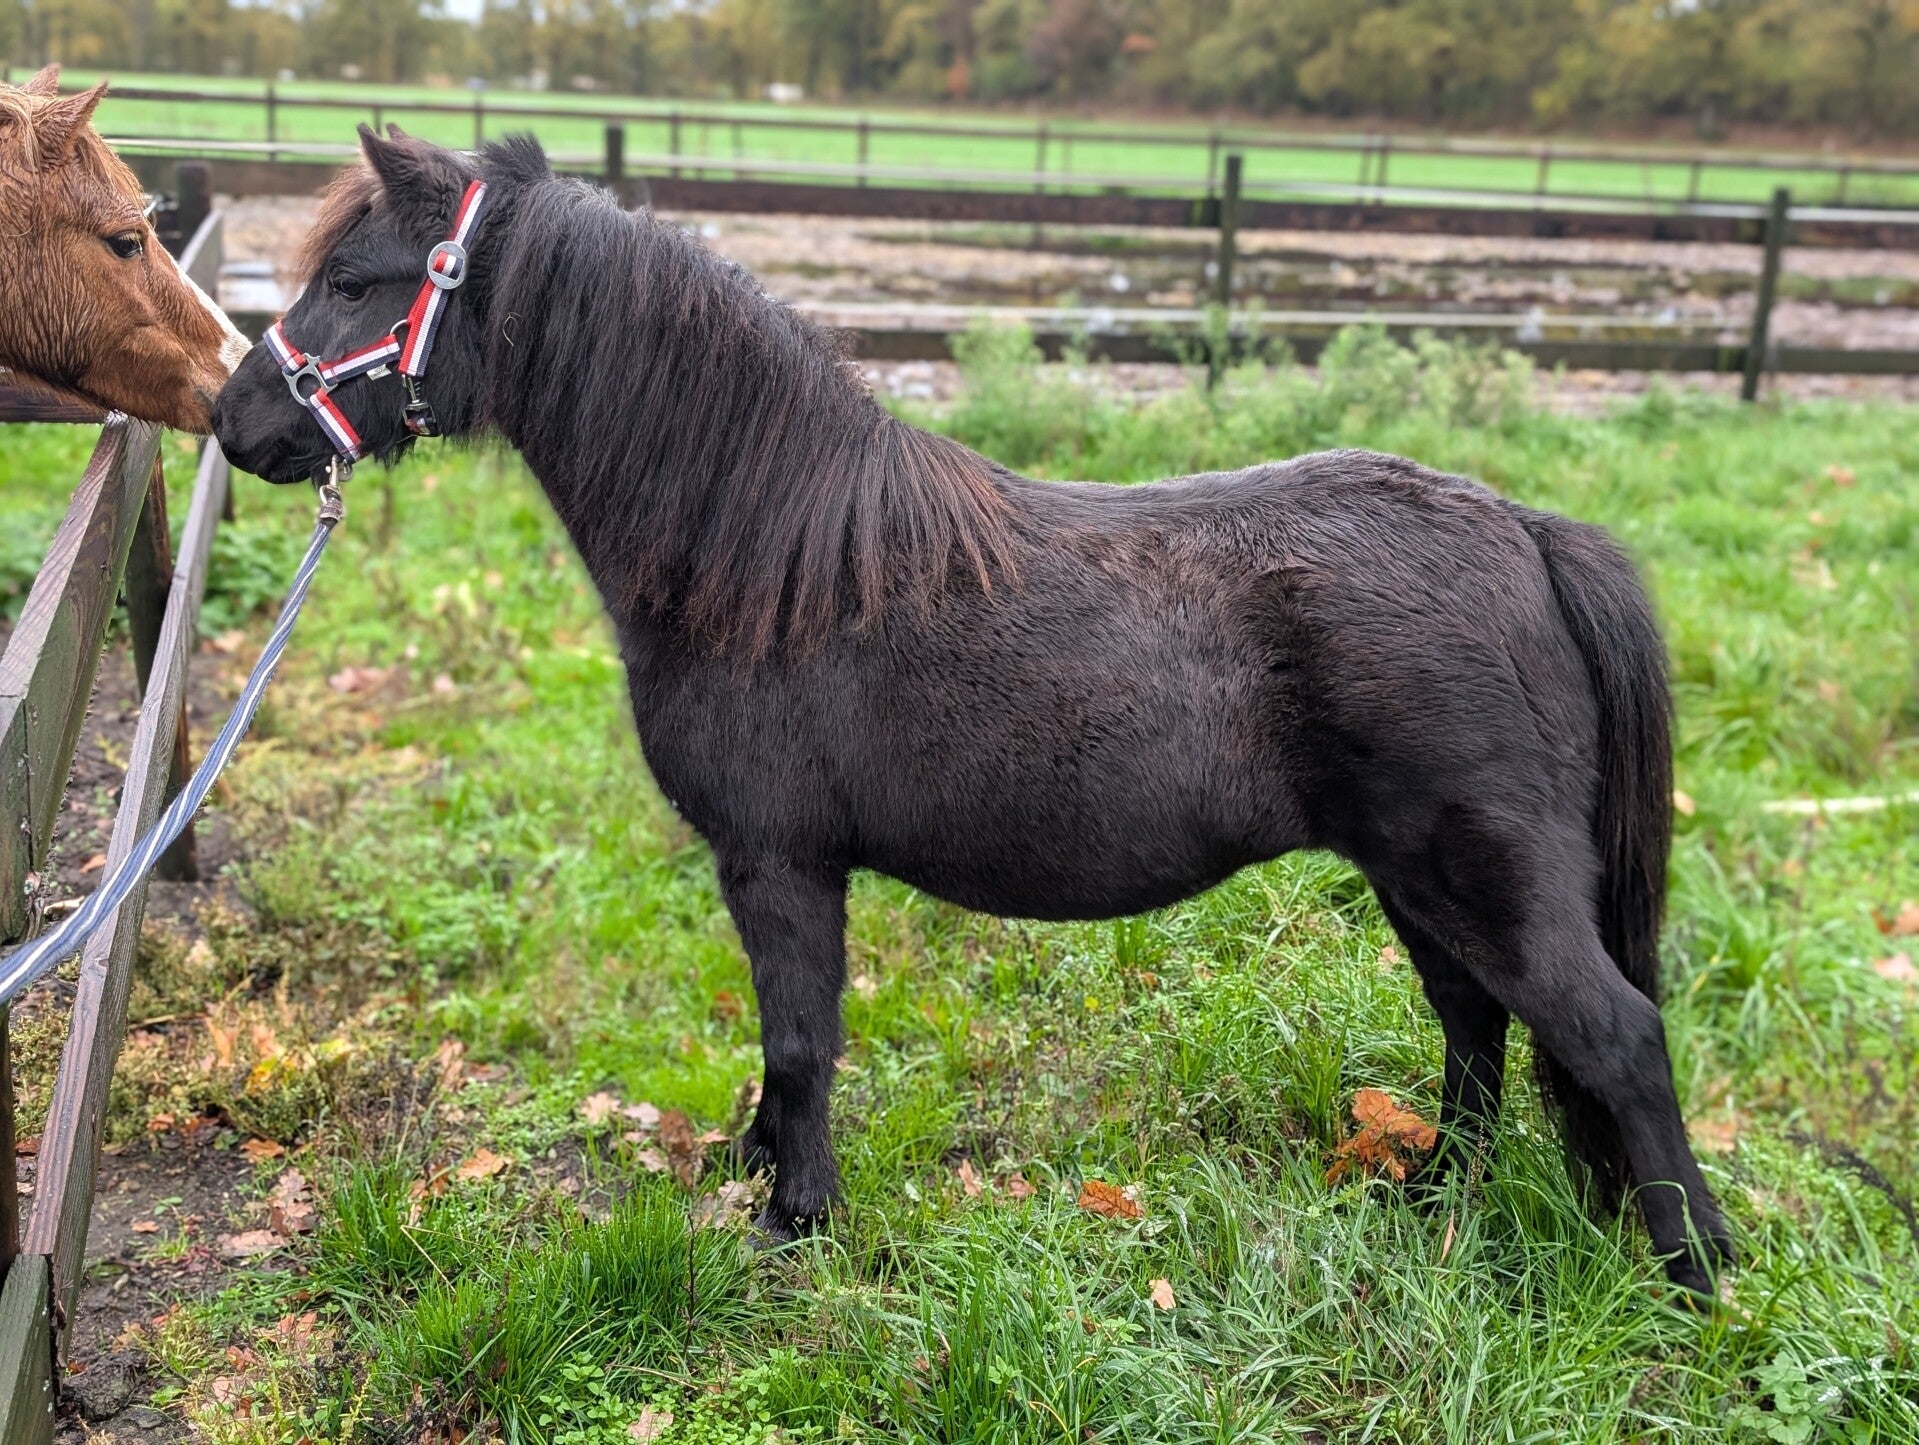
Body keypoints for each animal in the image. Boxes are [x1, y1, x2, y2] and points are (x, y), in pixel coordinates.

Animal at [211, 129, 1734, 1297]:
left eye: (352, 280)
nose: (236, 424)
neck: (759, 547)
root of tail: (1521, 529)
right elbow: (782, 1044)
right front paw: (761, 1166)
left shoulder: (779, 862)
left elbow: (799, 1036)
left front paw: (794, 1223)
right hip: (1418, 881)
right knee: (1476, 1029)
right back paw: (1431, 1196)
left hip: (1485, 878)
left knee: (1608, 1034)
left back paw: (1692, 1272)